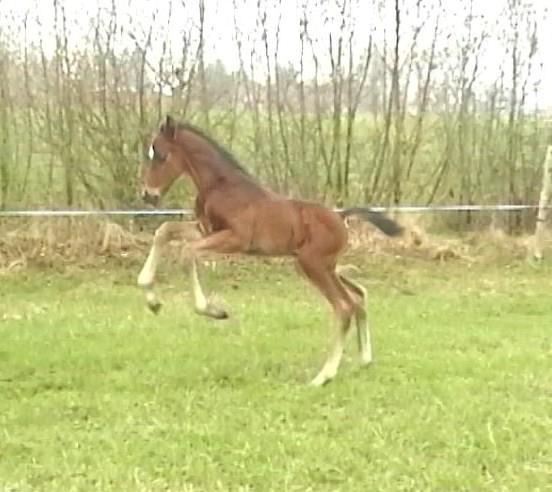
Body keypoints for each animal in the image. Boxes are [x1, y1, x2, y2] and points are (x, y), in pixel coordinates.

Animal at [135, 113, 398, 386]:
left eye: (161, 155)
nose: (147, 195)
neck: (221, 186)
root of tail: (341, 216)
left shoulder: (236, 238)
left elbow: (187, 253)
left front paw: (214, 311)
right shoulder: (205, 230)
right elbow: (164, 230)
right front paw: (152, 301)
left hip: (313, 265)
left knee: (344, 307)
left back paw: (322, 377)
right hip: (321, 266)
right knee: (358, 296)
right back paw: (364, 359)